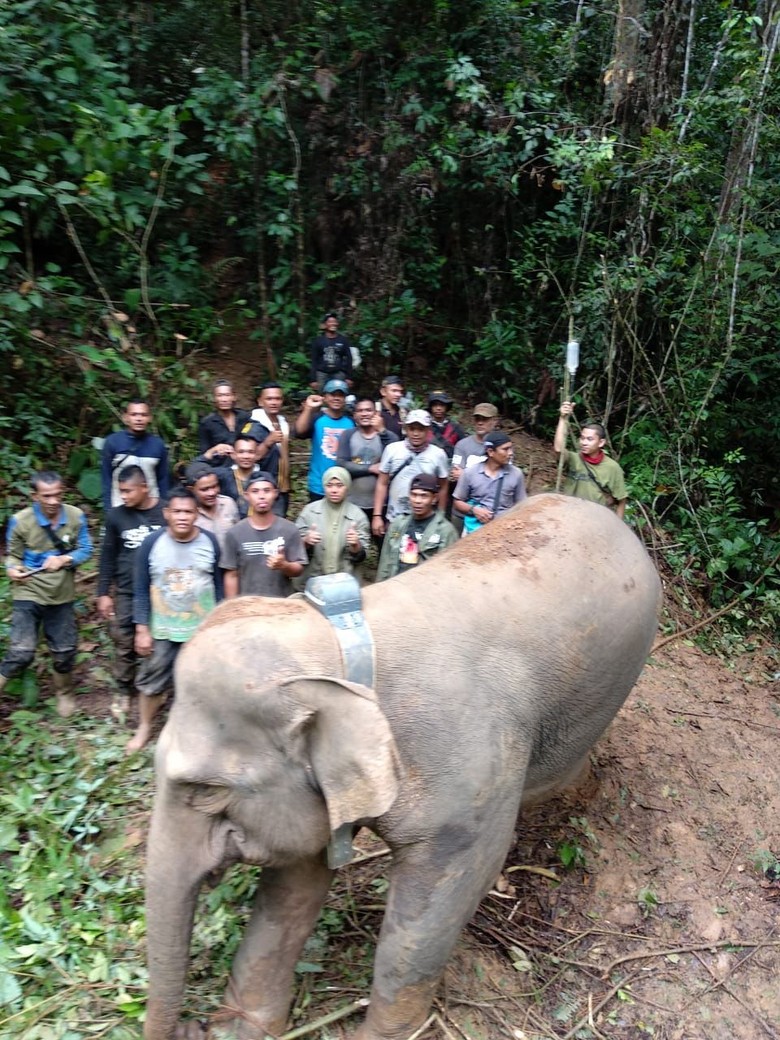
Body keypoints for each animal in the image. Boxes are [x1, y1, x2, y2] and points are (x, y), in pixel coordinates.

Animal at [143, 492, 661, 1040]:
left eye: (205, 791)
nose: (194, 1025)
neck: (339, 639)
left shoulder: (467, 782)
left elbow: (441, 901)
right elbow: (293, 886)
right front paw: (242, 1029)